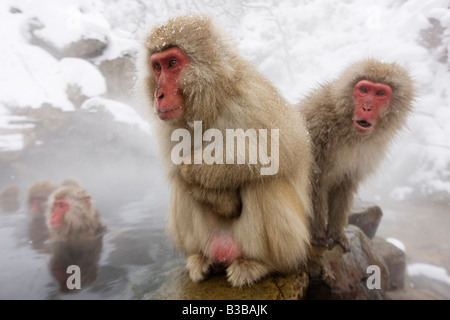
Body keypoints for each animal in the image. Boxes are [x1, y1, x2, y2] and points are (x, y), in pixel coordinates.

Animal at [137, 14, 312, 288]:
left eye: (172, 63)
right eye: (157, 67)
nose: (159, 94)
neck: (210, 100)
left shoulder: (252, 98)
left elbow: (278, 150)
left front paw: (195, 169)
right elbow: (177, 169)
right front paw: (220, 199)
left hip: (291, 244)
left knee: (262, 180)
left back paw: (259, 264)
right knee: (181, 187)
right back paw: (201, 259)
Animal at [298, 58, 414, 251]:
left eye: (380, 93)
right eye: (364, 90)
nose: (366, 107)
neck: (346, 129)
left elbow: (345, 184)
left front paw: (337, 233)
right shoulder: (316, 127)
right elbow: (312, 182)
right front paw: (317, 235)